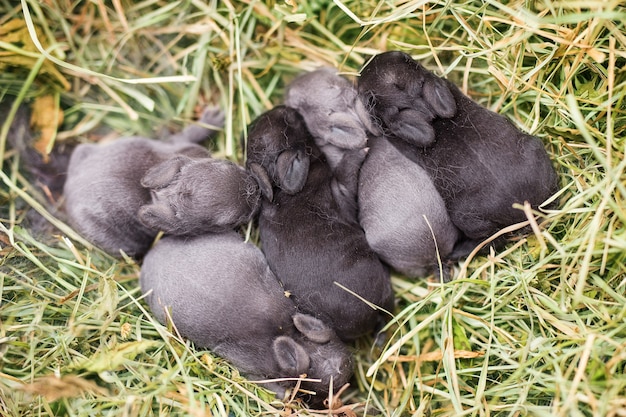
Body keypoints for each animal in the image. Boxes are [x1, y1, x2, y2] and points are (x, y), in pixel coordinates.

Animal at [246, 105, 392, 342]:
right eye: (289, 120)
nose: (286, 107)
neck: (282, 194)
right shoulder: (340, 190)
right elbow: (346, 171)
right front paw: (359, 150)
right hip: (383, 292)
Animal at [356, 50, 556, 255]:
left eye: (363, 92)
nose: (366, 61)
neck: (423, 107)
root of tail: (521, 205)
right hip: (535, 148)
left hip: (467, 219)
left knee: (492, 241)